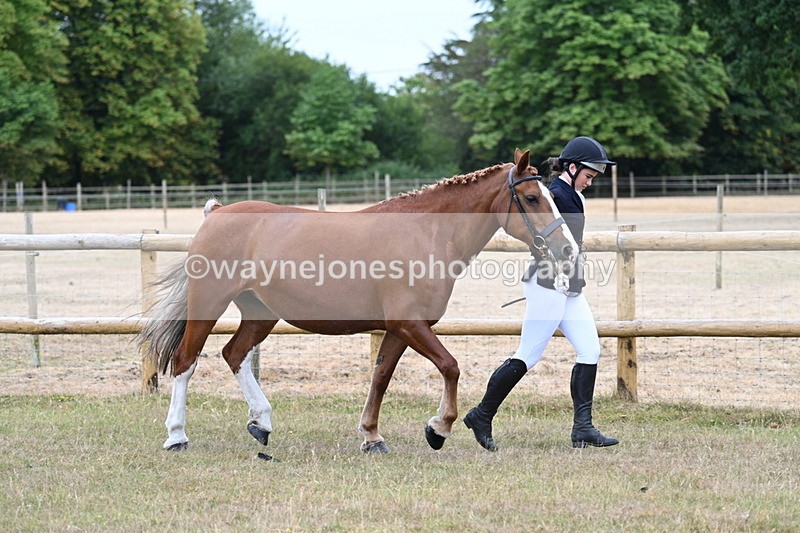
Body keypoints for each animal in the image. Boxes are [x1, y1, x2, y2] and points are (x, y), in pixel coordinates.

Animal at [138, 148, 578, 454]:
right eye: (533, 198)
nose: (567, 249)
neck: (428, 232)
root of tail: (217, 212)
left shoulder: (400, 330)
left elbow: (380, 378)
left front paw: (372, 437)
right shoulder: (409, 324)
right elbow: (450, 367)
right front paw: (438, 428)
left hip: (260, 313)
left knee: (234, 354)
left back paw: (261, 422)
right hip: (209, 304)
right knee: (186, 361)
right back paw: (176, 436)